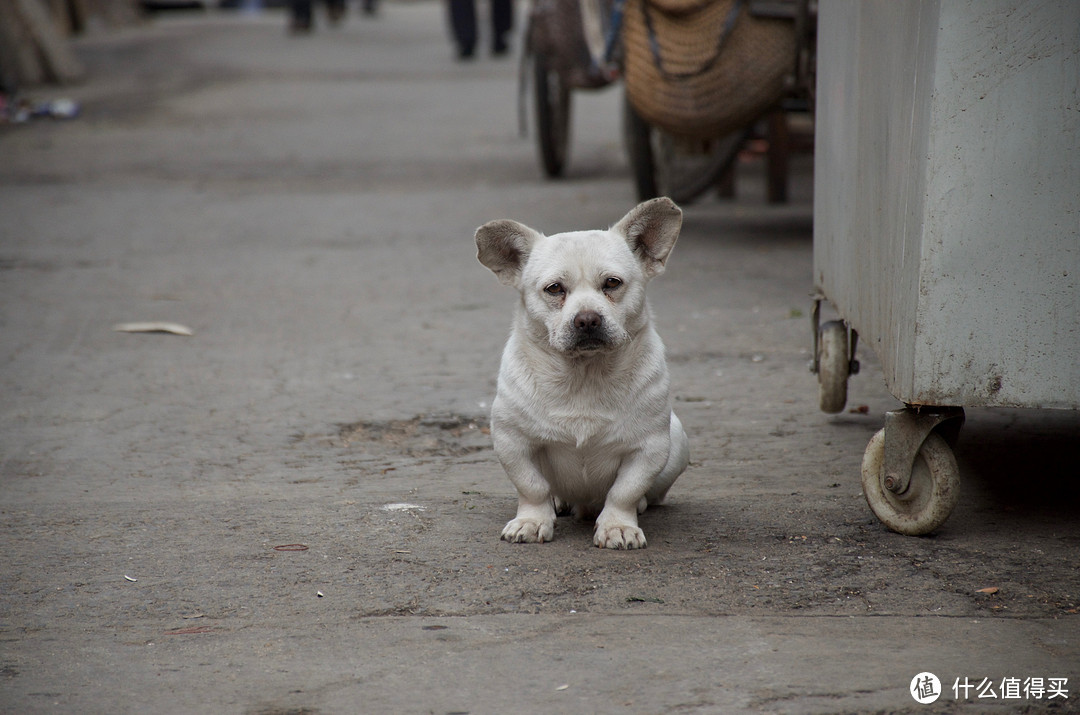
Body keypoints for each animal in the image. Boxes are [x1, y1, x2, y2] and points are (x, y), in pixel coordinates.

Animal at [475, 198, 691, 550]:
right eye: (554, 289)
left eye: (612, 283)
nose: (587, 319)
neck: (584, 375)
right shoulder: (513, 443)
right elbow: (531, 486)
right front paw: (533, 521)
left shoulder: (649, 449)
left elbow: (624, 491)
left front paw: (618, 526)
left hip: (678, 442)